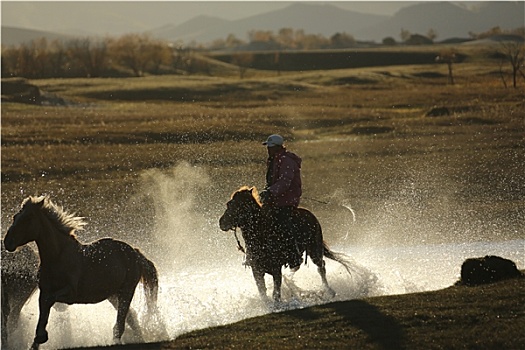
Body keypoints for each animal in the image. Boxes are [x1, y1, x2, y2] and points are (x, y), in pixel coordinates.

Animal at [3, 196, 160, 348]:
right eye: (15, 217)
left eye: (28, 218)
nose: (7, 242)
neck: (58, 257)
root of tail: (135, 252)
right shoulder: (44, 292)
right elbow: (43, 314)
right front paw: (37, 340)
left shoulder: (70, 292)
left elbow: (49, 303)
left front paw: (42, 336)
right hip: (113, 295)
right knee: (131, 317)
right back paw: (140, 339)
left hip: (127, 291)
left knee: (120, 324)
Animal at [219, 187, 350, 302]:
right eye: (229, 203)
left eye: (233, 205)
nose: (221, 222)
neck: (262, 235)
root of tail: (311, 215)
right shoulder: (257, 271)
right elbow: (263, 292)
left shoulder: (276, 269)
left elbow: (276, 294)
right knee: (298, 266)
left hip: (314, 249)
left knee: (321, 267)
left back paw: (329, 291)